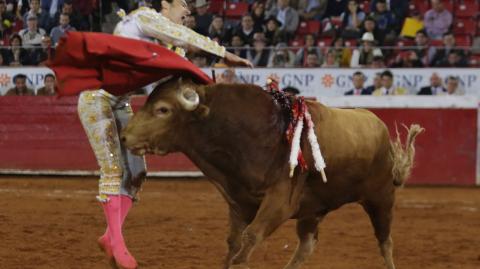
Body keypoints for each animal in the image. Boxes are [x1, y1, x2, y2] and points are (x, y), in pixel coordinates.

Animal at [121, 77, 424, 268]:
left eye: (163, 109)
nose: (124, 137)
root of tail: (378, 124)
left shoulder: (279, 200)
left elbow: (250, 238)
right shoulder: (239, 203)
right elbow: (234, 243)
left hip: (380, 198)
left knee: (385, 241)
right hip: (314, 210)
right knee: (306, 246)